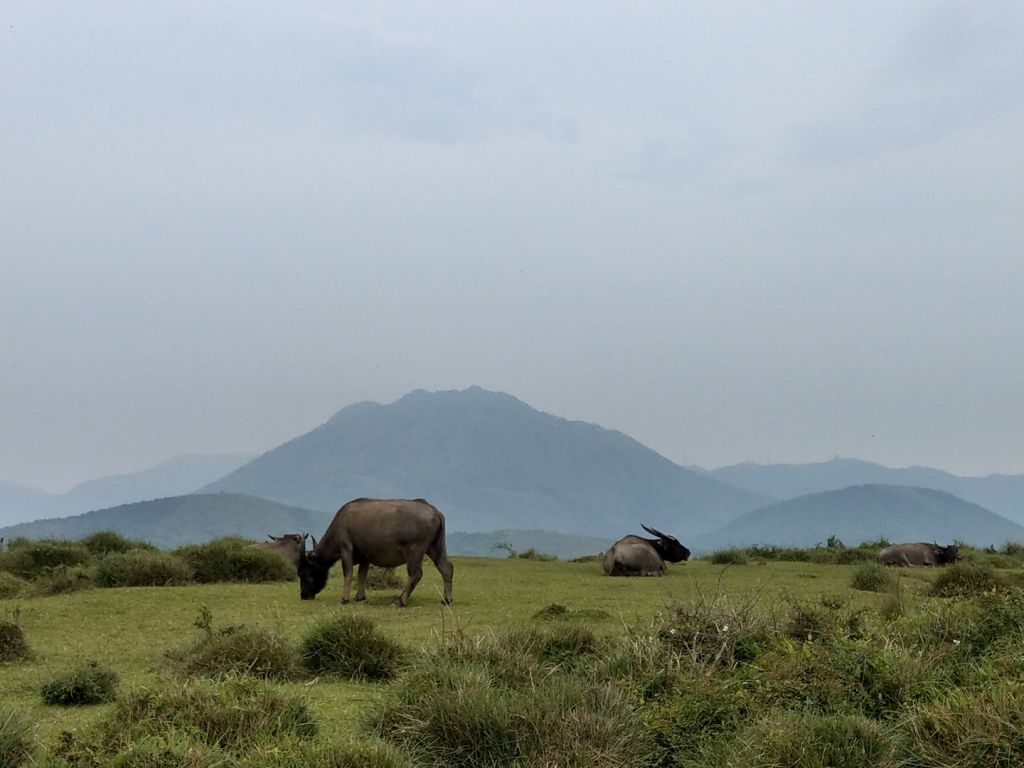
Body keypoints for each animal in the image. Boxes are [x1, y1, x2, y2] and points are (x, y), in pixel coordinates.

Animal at [299, 499, 454, 614]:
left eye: (306, 574)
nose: (303, 596)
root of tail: (434, 511)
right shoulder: (364, 557)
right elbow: (362, 575)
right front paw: (359, 597)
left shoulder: (346, 549)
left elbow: (348, 574)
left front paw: (344, 599)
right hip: (434, 548)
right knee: (446, 568)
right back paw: (446, 599)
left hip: (414, 552)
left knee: (416, 574)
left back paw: (399, 601)